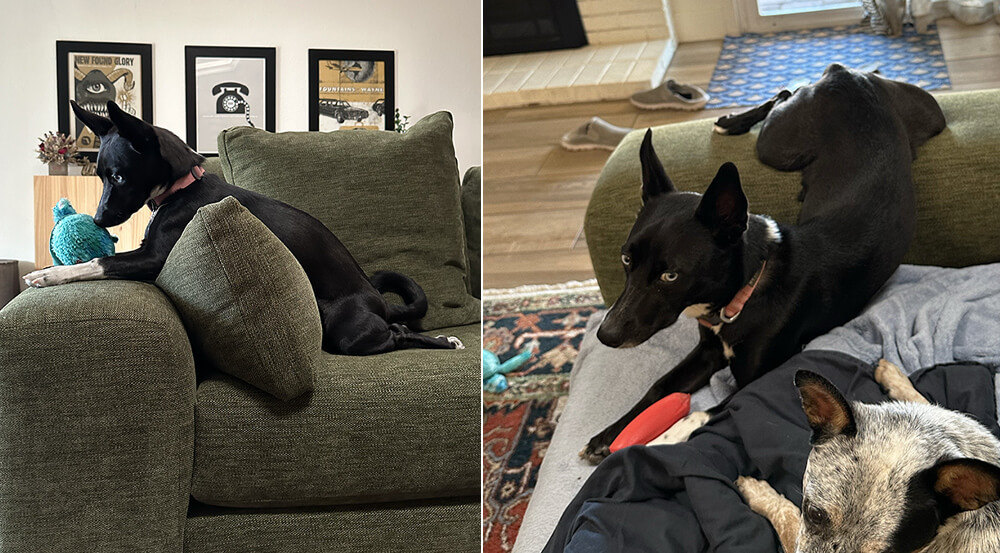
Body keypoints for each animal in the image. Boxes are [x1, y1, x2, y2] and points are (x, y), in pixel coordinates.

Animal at [24, 101, 460, 356]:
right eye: (100, 177)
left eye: (117, 176)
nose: (98, 220)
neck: (183, 187)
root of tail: (375, 296)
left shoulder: (154, 258)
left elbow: (99, 261)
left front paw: (48, 274)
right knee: (397, 327)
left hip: (346, 330)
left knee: (398, 334)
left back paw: (443, 340)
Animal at [580, 63, 944, 462]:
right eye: (626, 258)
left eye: (670, 275)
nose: (605, 335)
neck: (747, 290)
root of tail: (849, 75)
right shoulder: (707, 352)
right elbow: (658, 388)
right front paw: (611, 432)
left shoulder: (757, 377)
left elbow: (704, 411)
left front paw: (659, 439)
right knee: (787, 91)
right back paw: (733, 121)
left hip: (778, 144)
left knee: (784, 95)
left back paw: (731, 121)